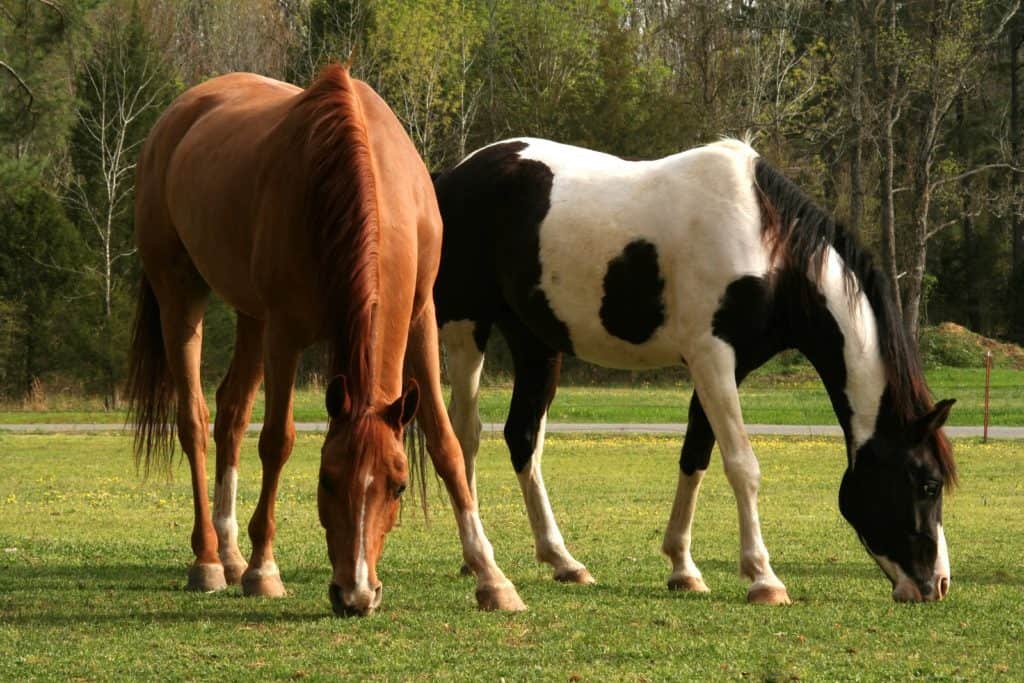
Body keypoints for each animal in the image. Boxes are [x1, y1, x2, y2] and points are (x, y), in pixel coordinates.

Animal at [127, 65, 524, 616]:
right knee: (194, 421)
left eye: (399, 486)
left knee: (231, 414)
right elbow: (277, 441)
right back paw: (209, 559)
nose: (356, 594)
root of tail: (178, 115)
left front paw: (491, 575)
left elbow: (444, 442)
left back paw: (229, 552)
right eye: (326, 480)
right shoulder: (285, 331)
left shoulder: (420, 316)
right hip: (180, 294)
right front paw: (264, 570)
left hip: (251, 316)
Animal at [432, 137, 957, 604]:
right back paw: (481, 565)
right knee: (465, 435)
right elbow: (742, 464)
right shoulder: (712, 357)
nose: (939, 584)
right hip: (465, 329)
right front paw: (763, 578)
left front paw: (683, 569)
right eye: (927, 483)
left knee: (523, 438)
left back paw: (563, 561)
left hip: (536, 343)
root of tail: (456, 174)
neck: (766, 246)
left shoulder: (728, 365)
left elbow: (695, 456)